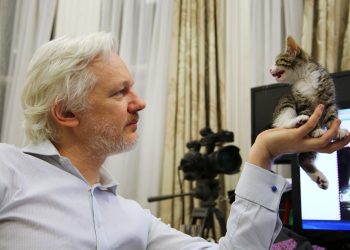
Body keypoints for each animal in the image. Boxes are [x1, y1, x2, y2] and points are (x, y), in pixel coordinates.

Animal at [270, 35, 346, 189]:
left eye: (277, 61)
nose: (269, 69)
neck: (304, 77)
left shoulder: (329, 98)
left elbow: (331, 115)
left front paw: (337, 129)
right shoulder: (301, 101)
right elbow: (309, 114)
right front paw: (316, 130)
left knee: (303, 159)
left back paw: (320, 178)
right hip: (287, 100)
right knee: (281, 124)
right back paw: (298, 120)